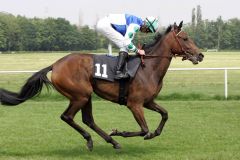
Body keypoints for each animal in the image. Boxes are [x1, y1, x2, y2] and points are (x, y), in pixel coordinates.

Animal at [0, 21, 203, 151]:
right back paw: (94, 139)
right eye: (185, 38)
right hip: (80, 95)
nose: (200, 55)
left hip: (86, 95)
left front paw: (153, 133)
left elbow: (165, 114)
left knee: (88, 119)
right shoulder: (135, 104)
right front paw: (120, 132)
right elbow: (144, 129)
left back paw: (110, 141)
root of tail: (55, 65)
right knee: (67, 117)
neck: (149, 68)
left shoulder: (148, 101)